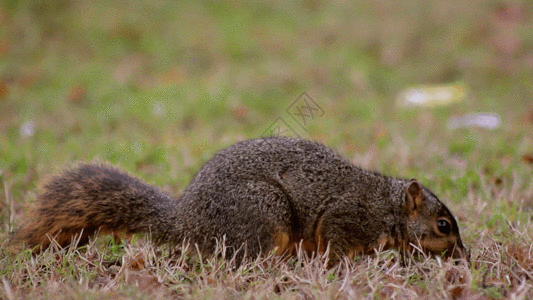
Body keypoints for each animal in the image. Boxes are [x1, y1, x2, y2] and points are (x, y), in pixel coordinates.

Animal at [14, 137, 466, 264]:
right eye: (443, 225)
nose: (464, 255)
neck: (388, 207)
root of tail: (188, 221)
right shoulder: (348, 217)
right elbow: (336, 245)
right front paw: (345, 266)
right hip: (264, 212)